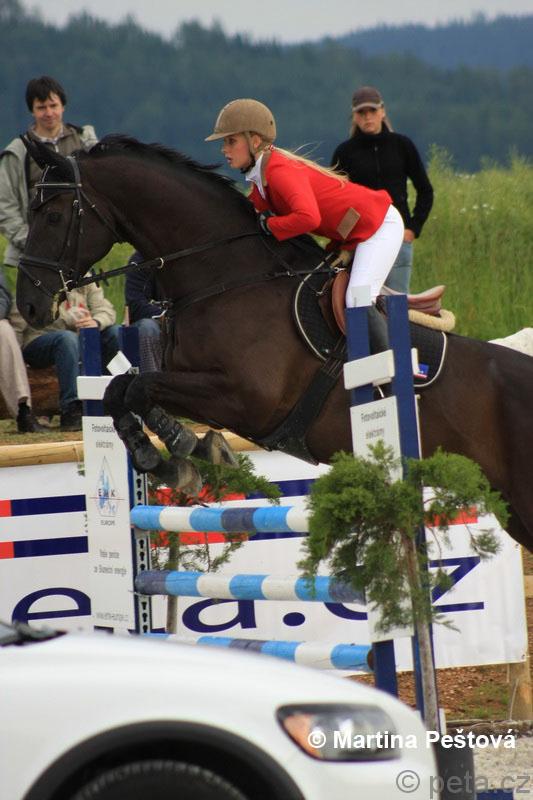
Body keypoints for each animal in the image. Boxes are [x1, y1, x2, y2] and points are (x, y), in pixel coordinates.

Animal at [15, 134, 533, 553]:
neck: (225, 278)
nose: (31, 306)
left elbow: (138, 388)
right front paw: (177, 455)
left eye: (54, 215)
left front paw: (182, 450)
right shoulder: (195, 384)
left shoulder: (247, 399)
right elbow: (121, 390)